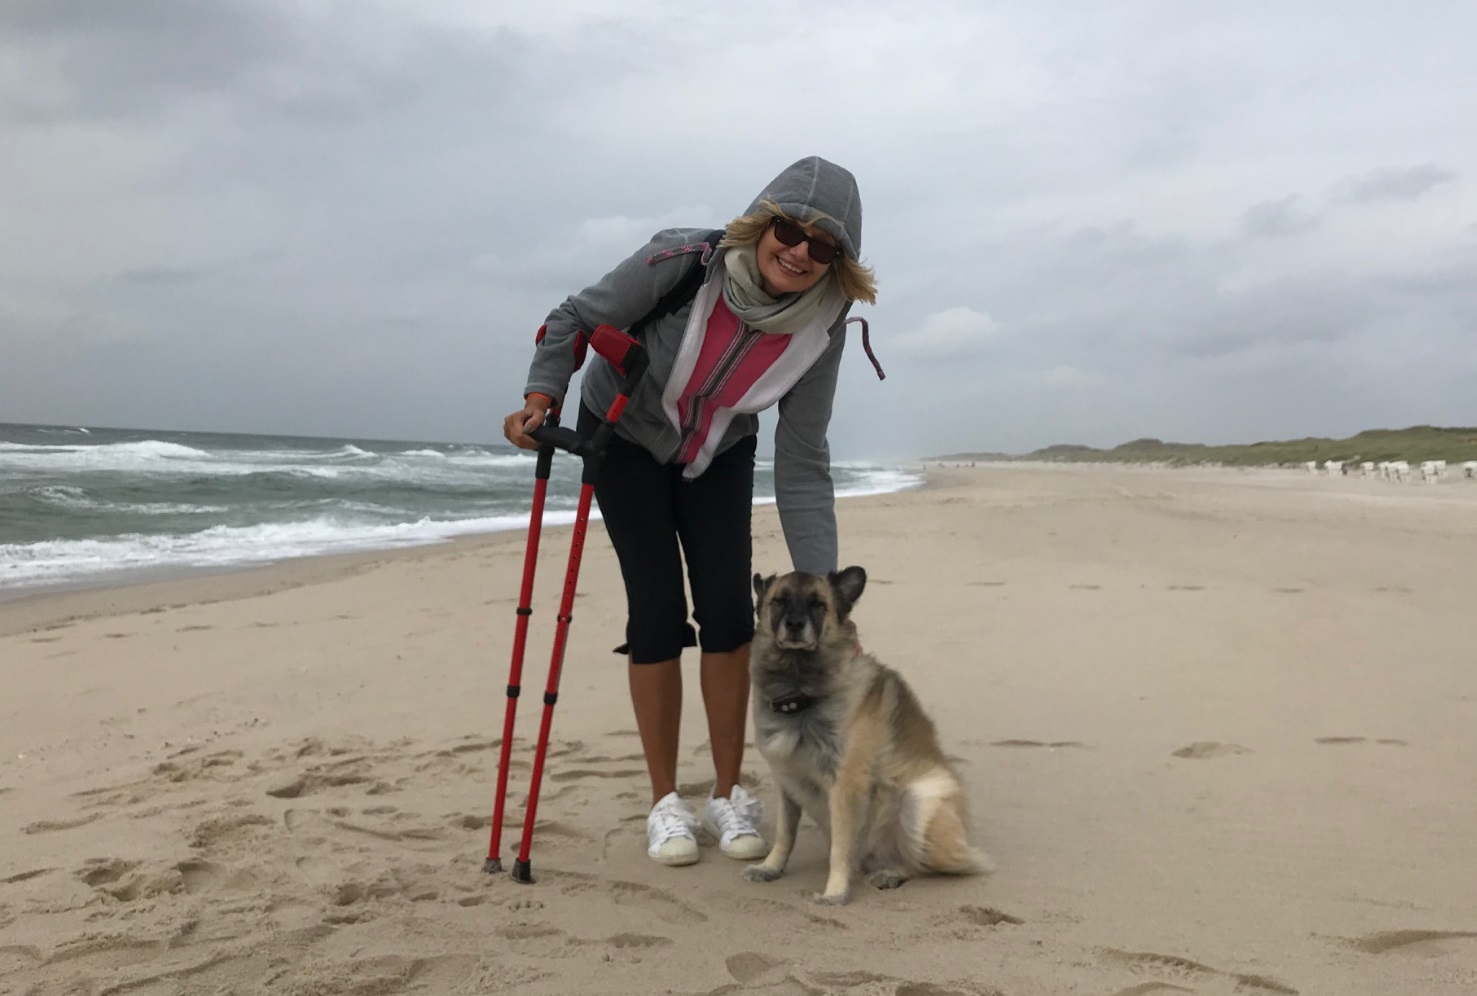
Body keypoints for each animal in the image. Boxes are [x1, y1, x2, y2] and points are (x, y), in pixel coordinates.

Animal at [738, 561, 992, 904]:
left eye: (818, 604)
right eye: (779, 601)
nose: (794, 625)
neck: (803, 690)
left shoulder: (845, 785)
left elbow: (840, 848)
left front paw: (834, 892)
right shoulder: (787, 782)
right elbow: (785, 833)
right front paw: (770, 867)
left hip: (919, 802)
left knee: (924, 865)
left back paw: (893, 872)